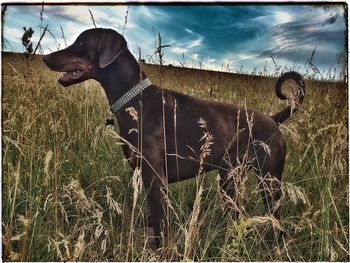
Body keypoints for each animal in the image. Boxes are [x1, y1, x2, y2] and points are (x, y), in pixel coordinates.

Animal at [44, 27, 306, 249]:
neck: (135, 100)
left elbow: (161, 226)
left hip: (269, 182)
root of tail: (273, 119)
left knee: (276, 221)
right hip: (229, 179)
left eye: (80, 43)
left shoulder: (155, 179)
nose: (45, 57)